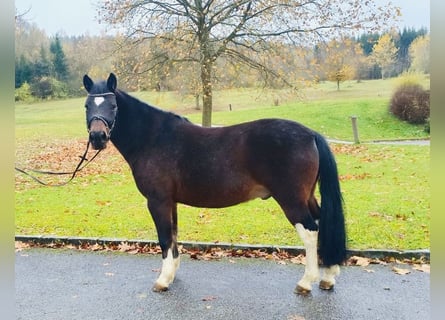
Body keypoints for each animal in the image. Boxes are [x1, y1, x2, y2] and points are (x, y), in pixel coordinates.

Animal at [83, 73, 346, 296]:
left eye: (113, 106)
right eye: (87, 106)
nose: (97, 137)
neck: (153, 138)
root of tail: (311, 134)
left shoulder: (157, 201)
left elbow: (165, 237)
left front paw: (162, 280)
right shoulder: (171, 202)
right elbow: (174, 234)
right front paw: (172, 274)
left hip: (291, 200)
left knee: (310, 231)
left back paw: (306, 282)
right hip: (307, 196)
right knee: (322, 223)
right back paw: (328, 276)